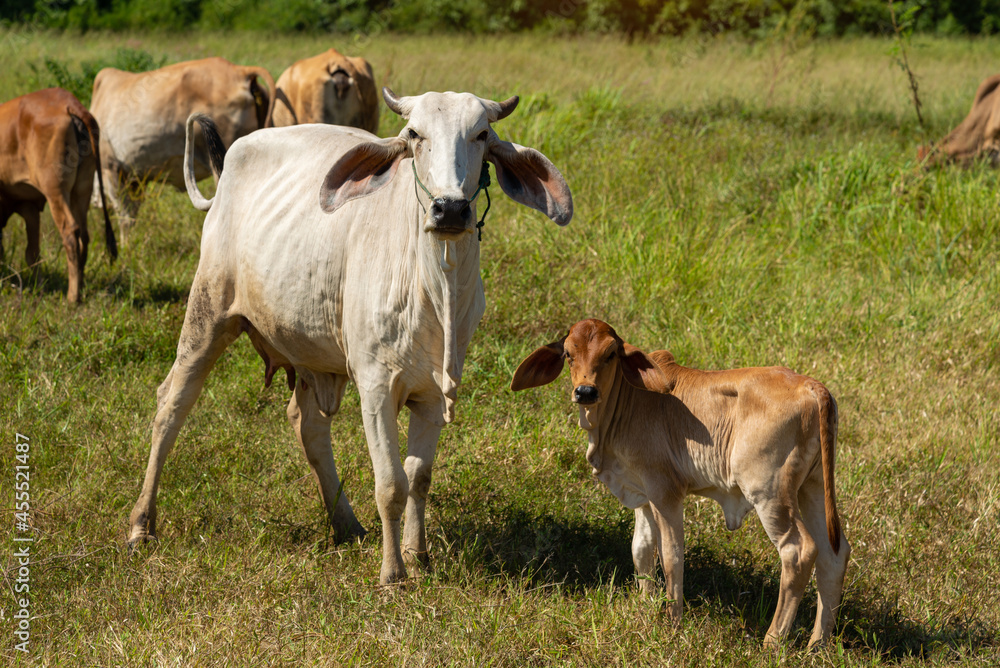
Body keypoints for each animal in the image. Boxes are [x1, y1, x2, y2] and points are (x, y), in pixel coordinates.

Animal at [0, 87, 117, 303]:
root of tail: (69, 103)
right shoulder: (29, 206)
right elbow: (32, 253)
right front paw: (39, 287)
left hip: (56, 191)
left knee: (70, 233)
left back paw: (72, 297)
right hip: (82, 189)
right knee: (84, 235)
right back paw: (80, 285)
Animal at [126, 88, 573, 585]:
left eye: (481, 135)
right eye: (414, 134)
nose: (450, 208)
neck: (435, 287)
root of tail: (230, 165)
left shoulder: (434, 391)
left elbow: (419, 477)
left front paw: (418, 555)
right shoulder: (375, 387)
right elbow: (391, 483)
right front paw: (393, 573)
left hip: (309, 350)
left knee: (308, 425)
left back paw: (346, 523)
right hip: (207, 314)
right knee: (170, 406)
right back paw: (141, 525)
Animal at [511, 319, 850, 649]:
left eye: (610, 354)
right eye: (568, 354)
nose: (585, 391)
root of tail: (810, 385)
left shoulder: (665, 493)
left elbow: (671, 556)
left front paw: (672, 624)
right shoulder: (642, 494)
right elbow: (641, 549)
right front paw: (645, 608)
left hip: (770, 493)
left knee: (798, 551)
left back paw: (772, 642)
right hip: (812, 487)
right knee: (834, 554)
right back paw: (818, 645)